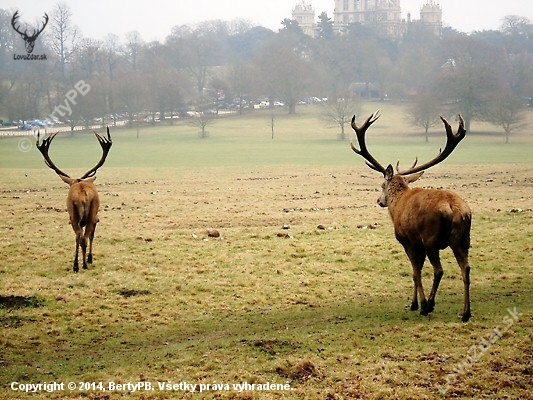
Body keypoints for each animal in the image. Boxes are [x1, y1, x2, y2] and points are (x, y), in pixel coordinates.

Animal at [37, 128, 113, 272]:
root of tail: (83, 193)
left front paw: (87, 260)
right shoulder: (95, 217)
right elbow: (91, 235)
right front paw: (89, 259)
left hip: (76, 215)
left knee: (80, 236)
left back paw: (78, 265)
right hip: (91, 214)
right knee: (85, 236)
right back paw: (83, 263)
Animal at [352, 111, 472, 322]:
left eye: (382, 185)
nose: (379, 201)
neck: (397, 203)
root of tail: (455, 209)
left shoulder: (408, 240)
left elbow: (415, 272)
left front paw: (418, 304)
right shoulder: (418, 244)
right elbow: (418, 270)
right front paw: (415, 303)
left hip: (431, 238)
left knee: (439, 270)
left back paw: (429, 305)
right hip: (463, 238)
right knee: (465, 268)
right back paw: (466, 313)